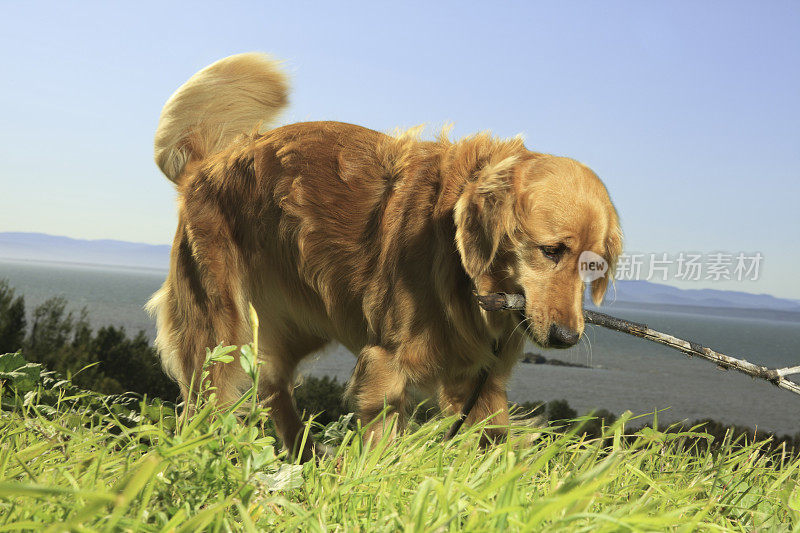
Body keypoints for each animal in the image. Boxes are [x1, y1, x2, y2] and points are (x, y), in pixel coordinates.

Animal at [147, 52, 620, 458]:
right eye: (551, 251)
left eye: (592, 266)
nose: (567, 337)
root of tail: (205, 166)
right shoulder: (386, 363)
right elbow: (381, 443)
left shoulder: (479, 378)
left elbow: (498, 446)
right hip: (220, 325)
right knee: (204, 400)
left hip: (305, 318)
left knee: (271, 384)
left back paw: (308, 456)